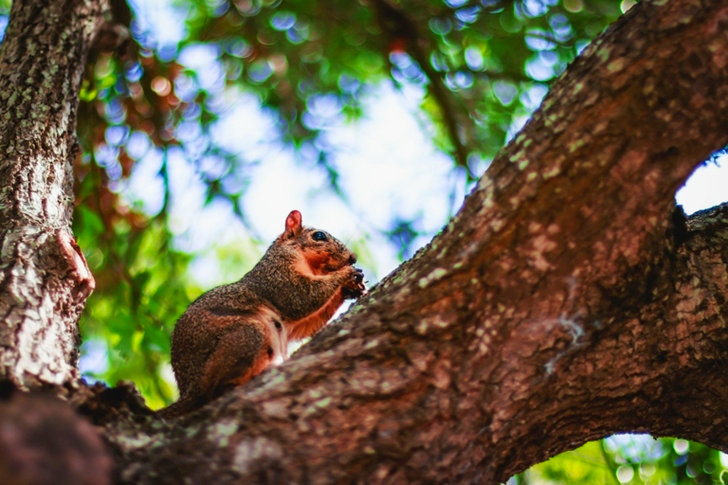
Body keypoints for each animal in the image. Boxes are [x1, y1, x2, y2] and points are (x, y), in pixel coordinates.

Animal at [161, 210, 366, 417]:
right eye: (319, 236)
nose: (353, 257)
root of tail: (188, 391)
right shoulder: (276, 276)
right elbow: (300, 297)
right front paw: (346, 274)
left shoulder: (291, 324)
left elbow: (305, 325)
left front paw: (350, 288)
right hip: (246, 336)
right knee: (211, 391)